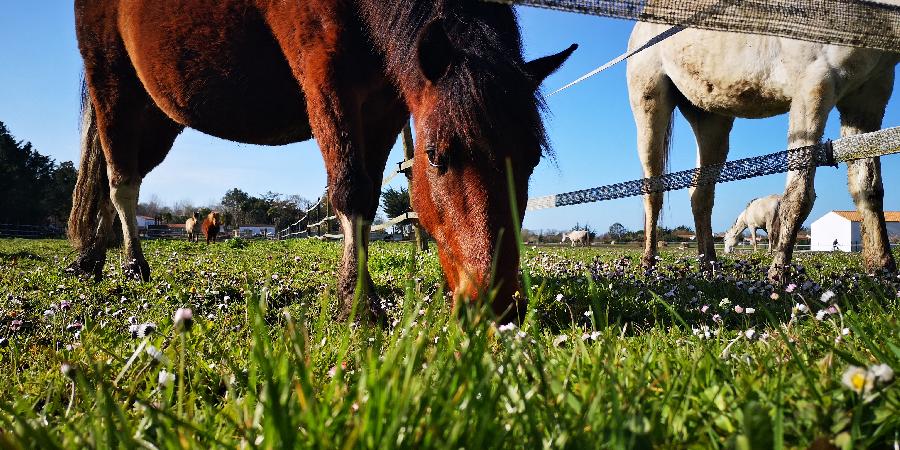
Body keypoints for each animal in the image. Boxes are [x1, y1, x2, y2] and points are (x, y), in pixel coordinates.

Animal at [68, 0, 576, 324]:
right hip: (112, 80)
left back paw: (91, 257)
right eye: (434, 156)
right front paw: (357, 302)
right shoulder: (325, 79)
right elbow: (350, 190)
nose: (499, 306)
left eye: (532, 160)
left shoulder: (386, 104)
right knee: (121, 180)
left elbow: (369, 194)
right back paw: (132, 265)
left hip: (158, 112)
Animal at [628, 22, 896, 280]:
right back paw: (649, 265)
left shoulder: (867, 98)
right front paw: (778, 276)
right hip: (650, 103)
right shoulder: (814, 85)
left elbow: (868, 188)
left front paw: (882, 270)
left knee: (700, 195)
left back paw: (708, 267)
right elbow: (799, 196)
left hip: (710, 118)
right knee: (653, 191)